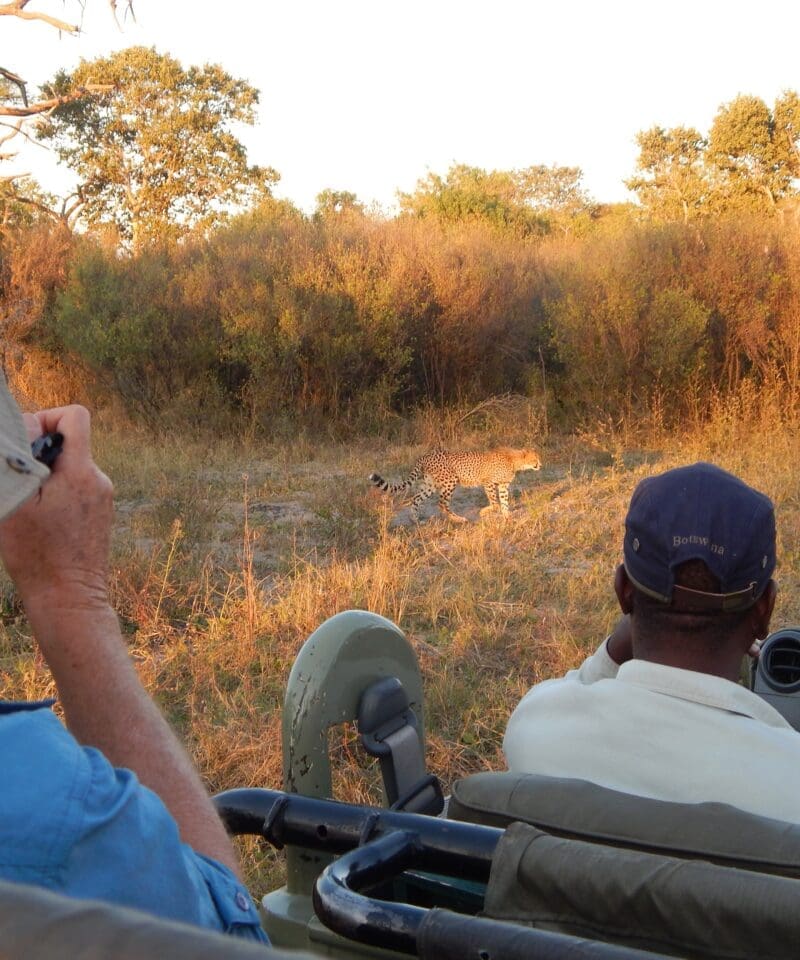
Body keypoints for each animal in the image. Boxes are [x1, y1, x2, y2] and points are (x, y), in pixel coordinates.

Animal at [368, 448, 544, 524]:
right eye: (535, 458)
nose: (540, 465)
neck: (515, 461)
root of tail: (425, 455)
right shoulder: (488, 482)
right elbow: (495, 503)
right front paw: (484, 512)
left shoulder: (502, 485)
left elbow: (504, 501)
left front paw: (507, 516)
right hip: (450, 481)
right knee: (442, 504)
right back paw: (458, 519)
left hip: (430, 484)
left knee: (416, 499)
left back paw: (416, 520)